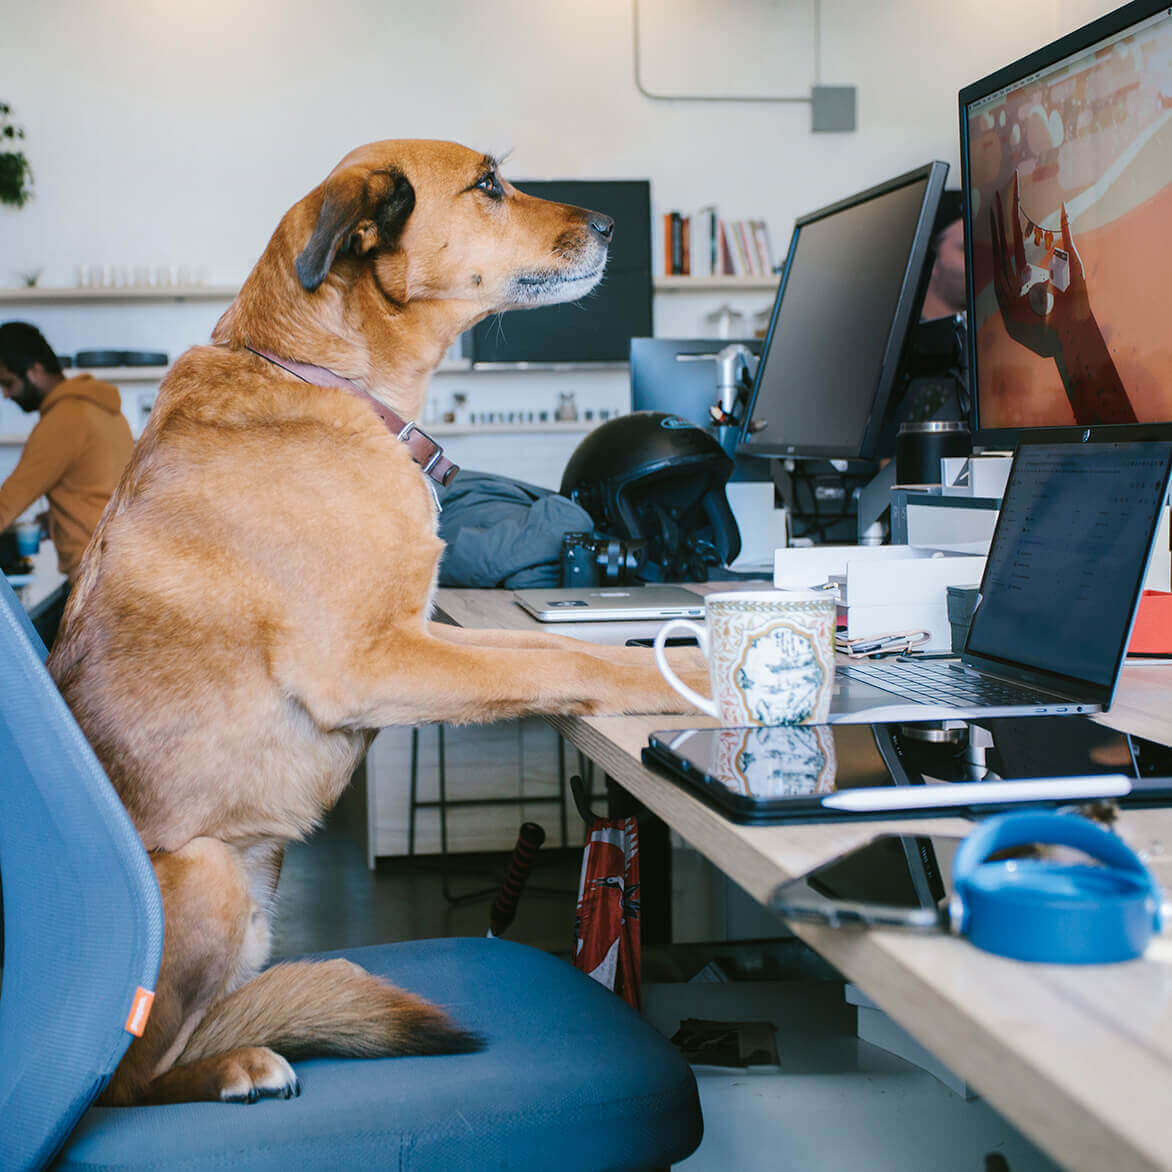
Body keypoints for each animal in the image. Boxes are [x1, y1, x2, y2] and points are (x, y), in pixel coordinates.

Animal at [50, 141, 707, 1101]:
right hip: (210, 877)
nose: (612, 224)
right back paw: (238, 1063)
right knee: (130, 1083)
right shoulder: (372, 660)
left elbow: (539, 643)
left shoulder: (424, 637)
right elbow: (559, 657)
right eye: (489, 184)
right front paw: (688, 670)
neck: (327, 378)